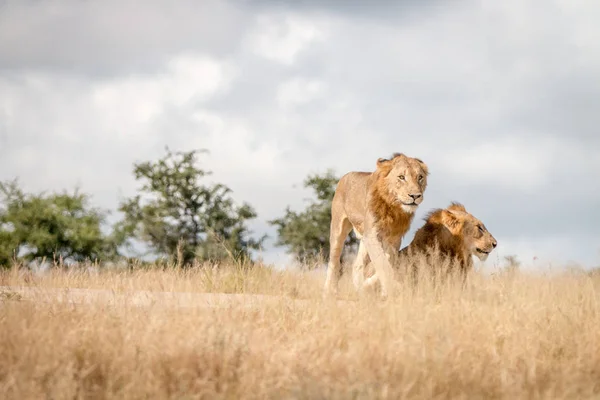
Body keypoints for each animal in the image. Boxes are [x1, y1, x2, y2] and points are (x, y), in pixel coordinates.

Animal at [322, 152, 428, 298]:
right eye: (401, 177)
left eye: (420, 177)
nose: (415, 196)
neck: (394, 207)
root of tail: (345, 176)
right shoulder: (372, 235)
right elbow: (382, 263)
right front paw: (392, 288)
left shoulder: (394, 239)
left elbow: (386, 261)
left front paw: (370, 286)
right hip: (338, 227)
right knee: (334, 260)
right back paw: (329, 292)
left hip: (364, 237)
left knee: (357, 265)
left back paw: (360, 289)